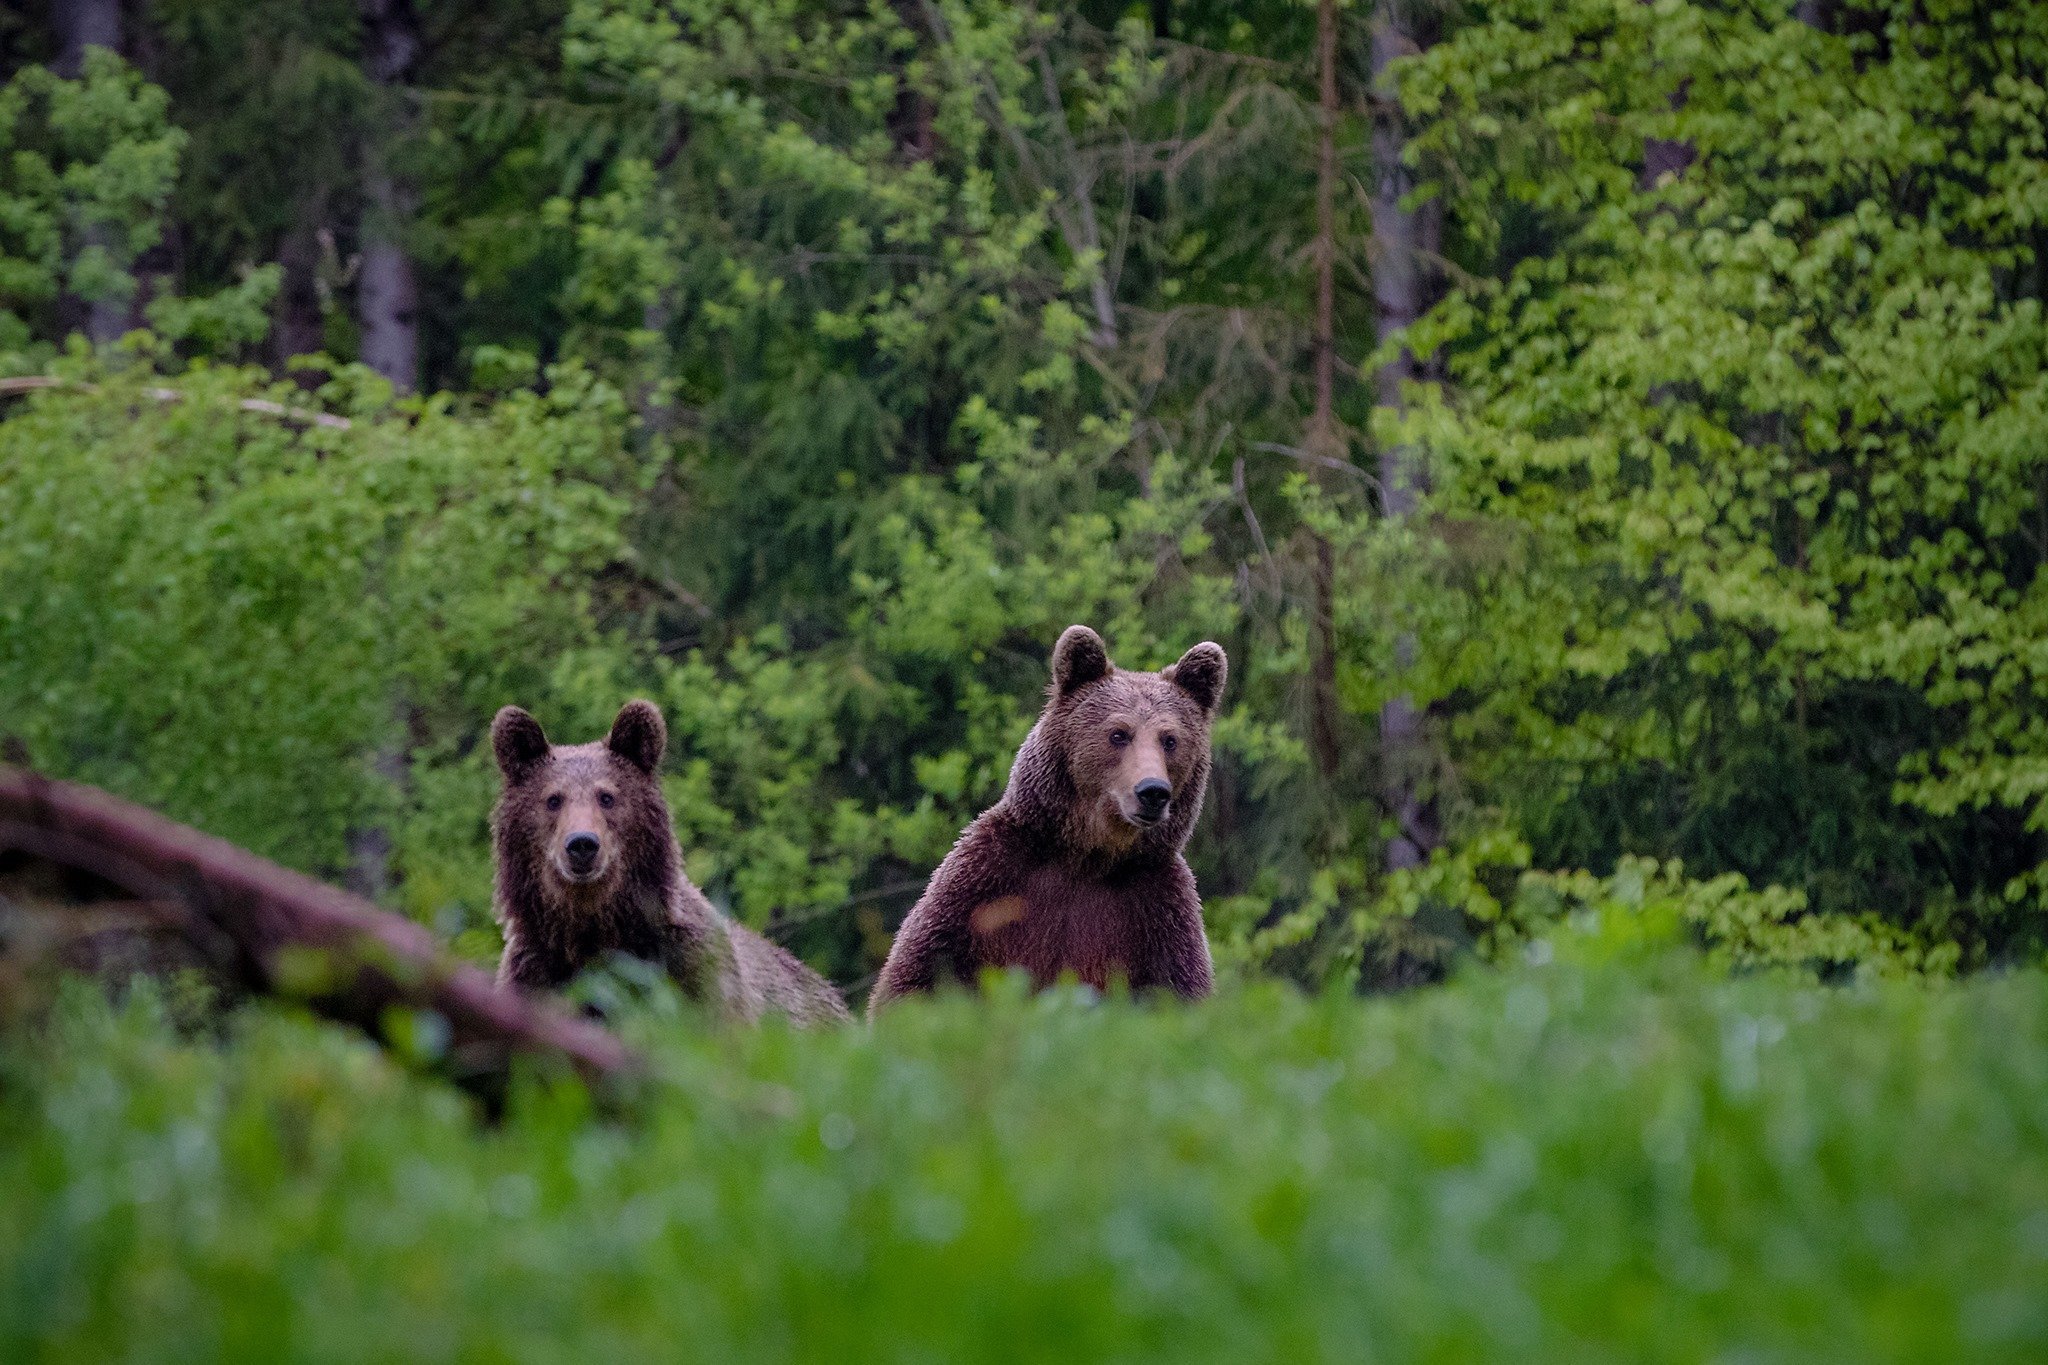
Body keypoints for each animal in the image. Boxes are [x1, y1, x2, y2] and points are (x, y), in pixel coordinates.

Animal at [487, 699, 847, 1019]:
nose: (582, 845)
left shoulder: (694, 975)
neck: (597, 931)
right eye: (553, 799)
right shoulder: (537, 979)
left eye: (607, 796)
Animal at [868, 630, 1220, 1015]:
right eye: (1118, 733)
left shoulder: (1157, 908)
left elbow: (1177, 987)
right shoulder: (986, 880)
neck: (1087, 856)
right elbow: (923, 970)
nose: (1153, 792)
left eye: (1170, 739)